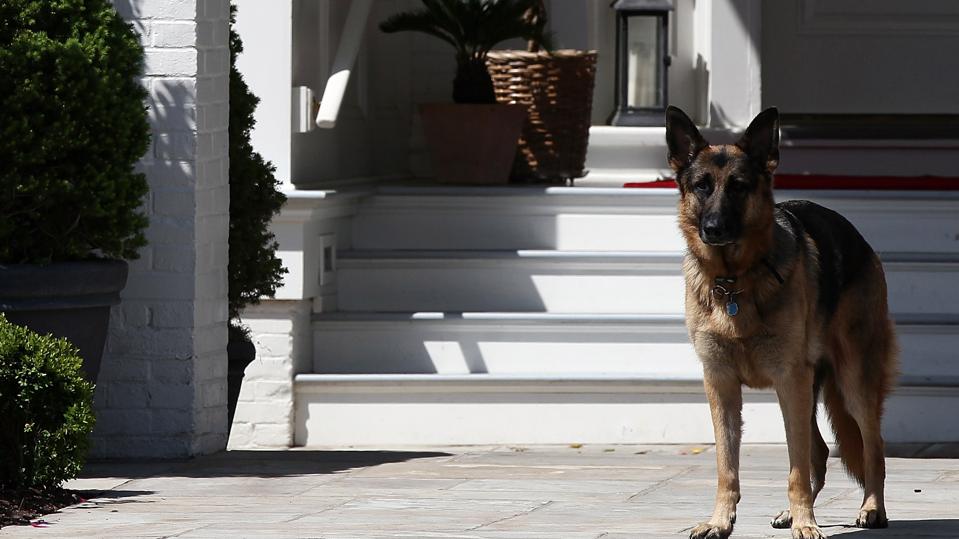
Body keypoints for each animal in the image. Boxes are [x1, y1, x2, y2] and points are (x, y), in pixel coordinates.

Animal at [668, 106, 900, 539]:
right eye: (702, 187)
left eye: (739, 187)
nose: (713, 229)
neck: (733, 281)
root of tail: (858, 237)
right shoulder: (721, 384)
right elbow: (727, 468)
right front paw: (721, 521)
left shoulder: (790, 380)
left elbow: (796, 470)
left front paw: (806, 523)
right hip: (804, 389)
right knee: (821, 451)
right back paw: (794, 513)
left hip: (851, 383)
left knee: (871, 447)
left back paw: (871, 508)